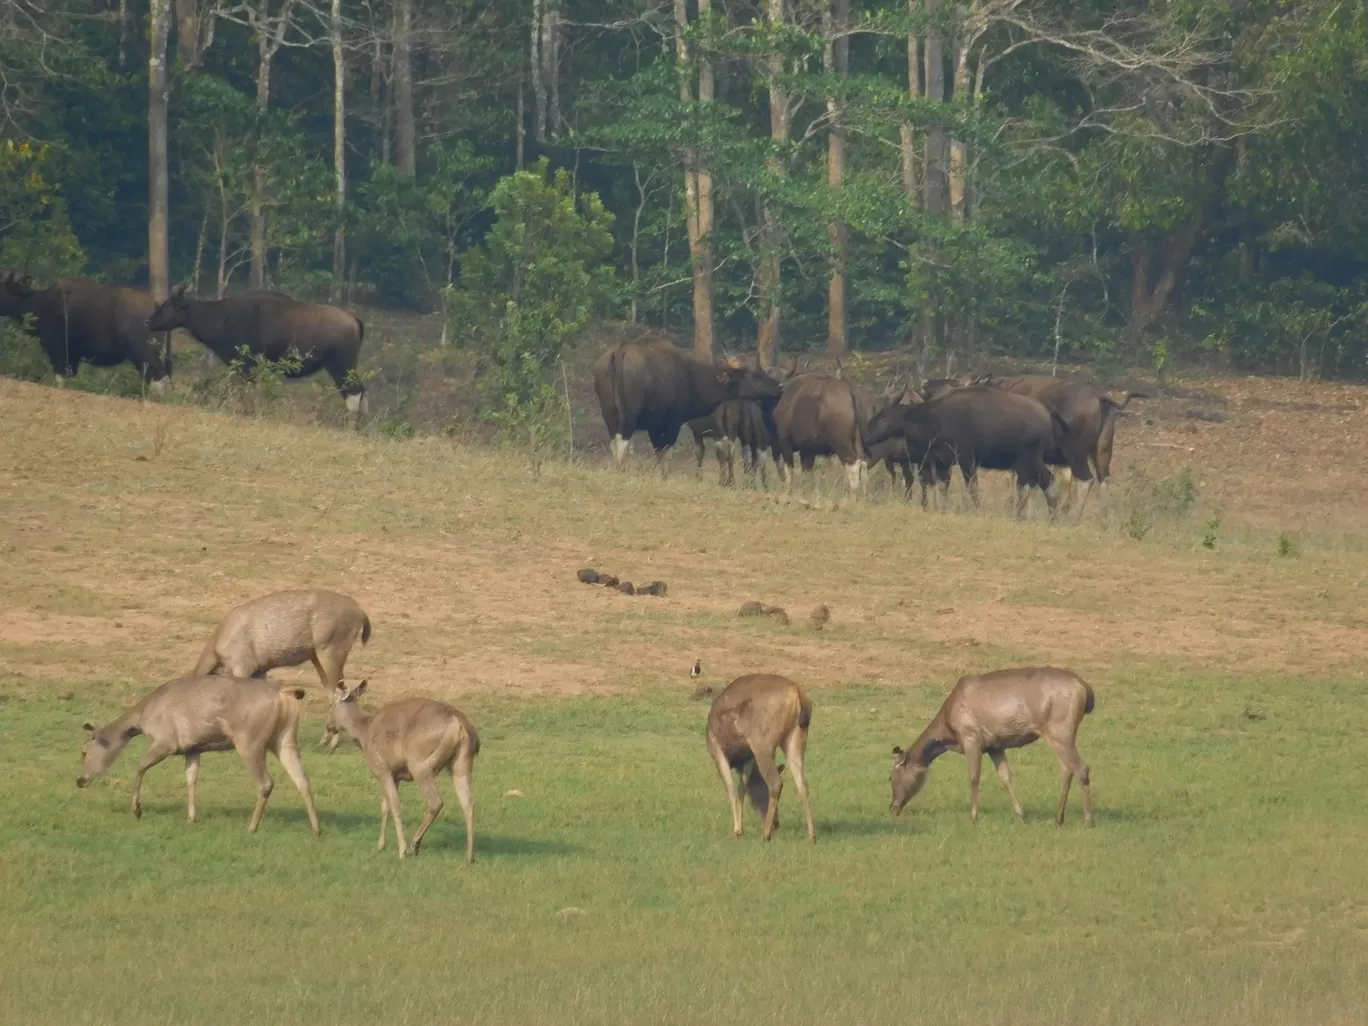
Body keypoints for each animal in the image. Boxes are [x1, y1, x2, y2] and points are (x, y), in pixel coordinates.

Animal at [76, 675, 320, 837]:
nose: (80, 780)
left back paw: (252, 827)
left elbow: (140, 766)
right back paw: (316, 829)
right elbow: (191, 779)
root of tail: (285, 697)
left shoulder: (166, 741)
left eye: (84, 751)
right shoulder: (192, 748)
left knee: (266, 782)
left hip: (250, 740)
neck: (143, 719)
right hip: (285, 740)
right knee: (303, 779)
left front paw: (137, 810)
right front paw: (191, 818)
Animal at [321, 686, 481, 864]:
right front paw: (381, 845)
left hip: (420, 764)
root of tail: (459, 724)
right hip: (462, 763)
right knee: (469, 804)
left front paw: (401, 850)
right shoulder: (395, 775)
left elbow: (395, 805)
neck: (363, 734)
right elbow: (385, 806)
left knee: (436, 802)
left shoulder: (382, 769)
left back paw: (414, 845)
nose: (329, 727)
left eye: (331, 704)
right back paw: (469, 856)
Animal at [705, 675, 809, 842]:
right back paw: (812, 836)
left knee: (776, 783)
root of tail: (797, 693)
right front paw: (741, 829)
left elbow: (731, 790)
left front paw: (736, 830)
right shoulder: (748, 758)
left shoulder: (717, 750)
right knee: (802, 782)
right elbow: (741, 789)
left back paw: (766, 834)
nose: (777, 824)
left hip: (763, 744)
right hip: (796, 737)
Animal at [891, 667, 1094, 826]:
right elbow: (1005, 776)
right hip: (1059, 735)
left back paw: (1088, 819)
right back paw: (1058, 818)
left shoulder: (971, 737)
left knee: (1082, 767)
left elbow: (974, 777)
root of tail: (1086, 689)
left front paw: (973, 816)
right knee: (1067, 769)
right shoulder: (995, 746)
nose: (892, 807)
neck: (949, 734)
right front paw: (1021, 815)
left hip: (1060, 730)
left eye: (891, 777)